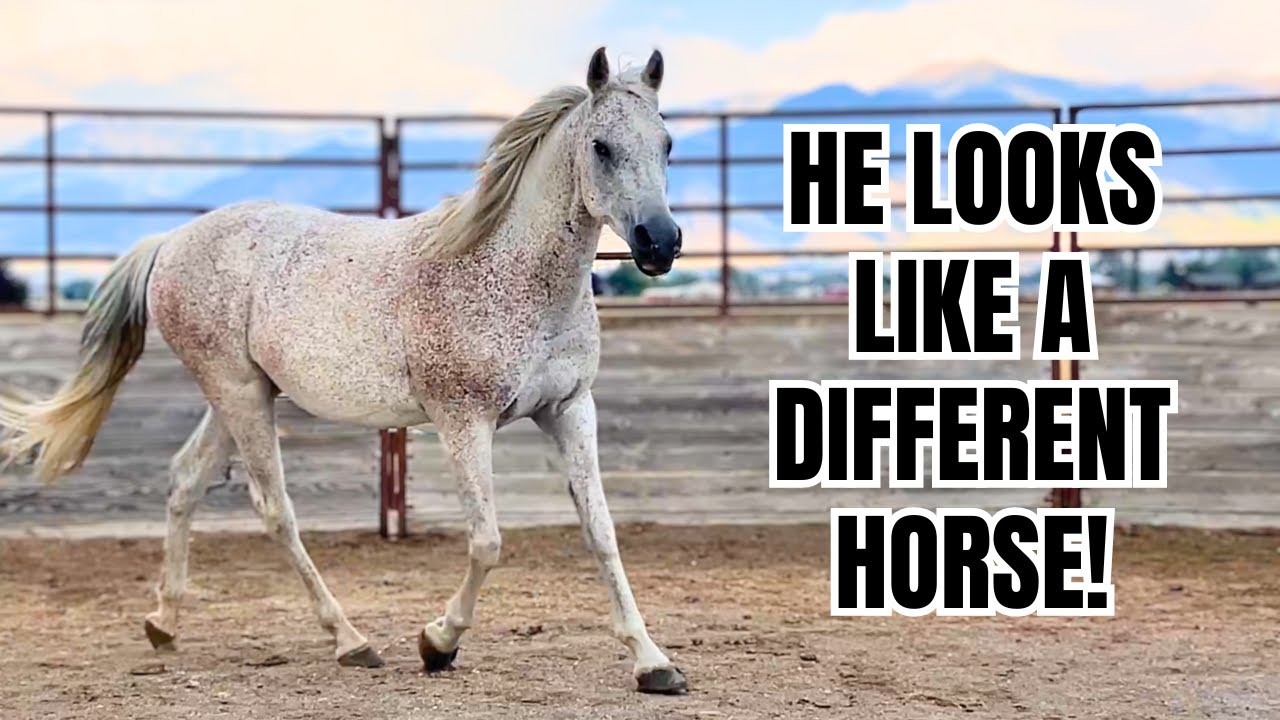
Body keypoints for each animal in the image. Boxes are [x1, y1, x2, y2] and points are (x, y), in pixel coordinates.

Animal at [0, 47, 687, 694]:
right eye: (601, 147)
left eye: (667, 142)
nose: (660, 242)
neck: (516, 274)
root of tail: (170, 242)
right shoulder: (463, 421)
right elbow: (487, 540)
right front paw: (437, 643)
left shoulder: (569, 409)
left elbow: (601, 532)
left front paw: (653, 663)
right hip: (238, 393)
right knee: (274, 508)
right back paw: (351, 641)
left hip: (242, 394)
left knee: (186, 478)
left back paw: (164, 624)